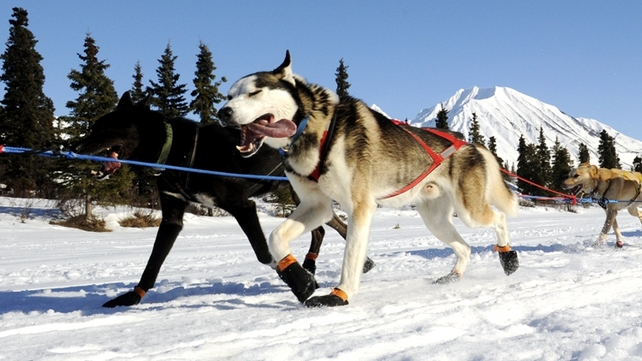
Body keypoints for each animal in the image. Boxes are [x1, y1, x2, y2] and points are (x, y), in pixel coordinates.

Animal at [72, 92, 372, 306]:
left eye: (106, 128)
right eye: (95, 126)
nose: (73, 146)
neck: (179, 151)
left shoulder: (242, 206)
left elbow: (264, 253)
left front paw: (299, 282)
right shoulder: (172, 217)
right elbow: (153, 261)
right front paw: (133, 296)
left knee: (332, 224)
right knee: (328, 226)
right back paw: (354, 262)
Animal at [218, 50, 516, 304]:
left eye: (255, 92)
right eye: (229, 96)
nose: (223, 112)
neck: (313, 127)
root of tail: (470, 144)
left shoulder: (359, 207)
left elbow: (351, 257)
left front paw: (340, 294)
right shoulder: (317, 205)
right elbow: (275, 237)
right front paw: (299, 280)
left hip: (469, 212)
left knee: (499, 217)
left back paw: (508, 258)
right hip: (435, 220)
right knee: (464, 247)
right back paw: (454, 275)